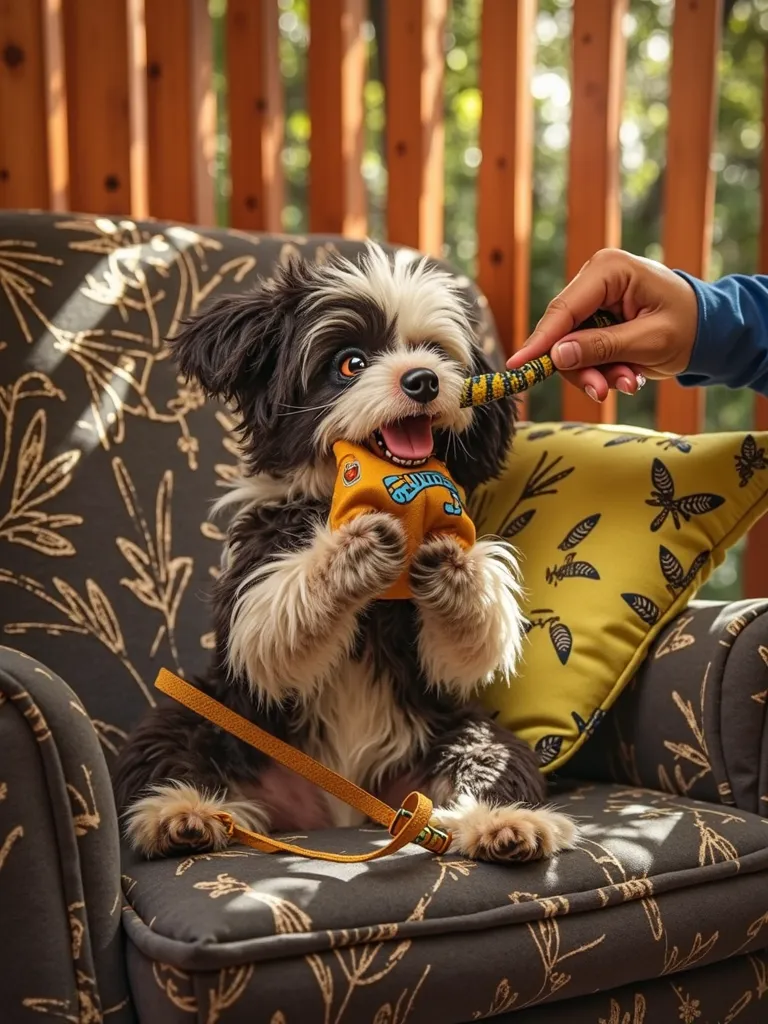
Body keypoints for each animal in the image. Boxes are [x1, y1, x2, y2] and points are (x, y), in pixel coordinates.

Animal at [114, 245, 577, 864]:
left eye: (436, 352)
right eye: (350, 363)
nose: (425, 380)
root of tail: (339, 808)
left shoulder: (438, 676)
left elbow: (466, 651)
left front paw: (452, 564)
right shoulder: (254, 583)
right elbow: (269, 638)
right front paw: (352, 551)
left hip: (455, 735)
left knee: (493, 760)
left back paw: (506, 823)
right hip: (210, 714)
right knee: (168, 745)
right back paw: (182, 816)